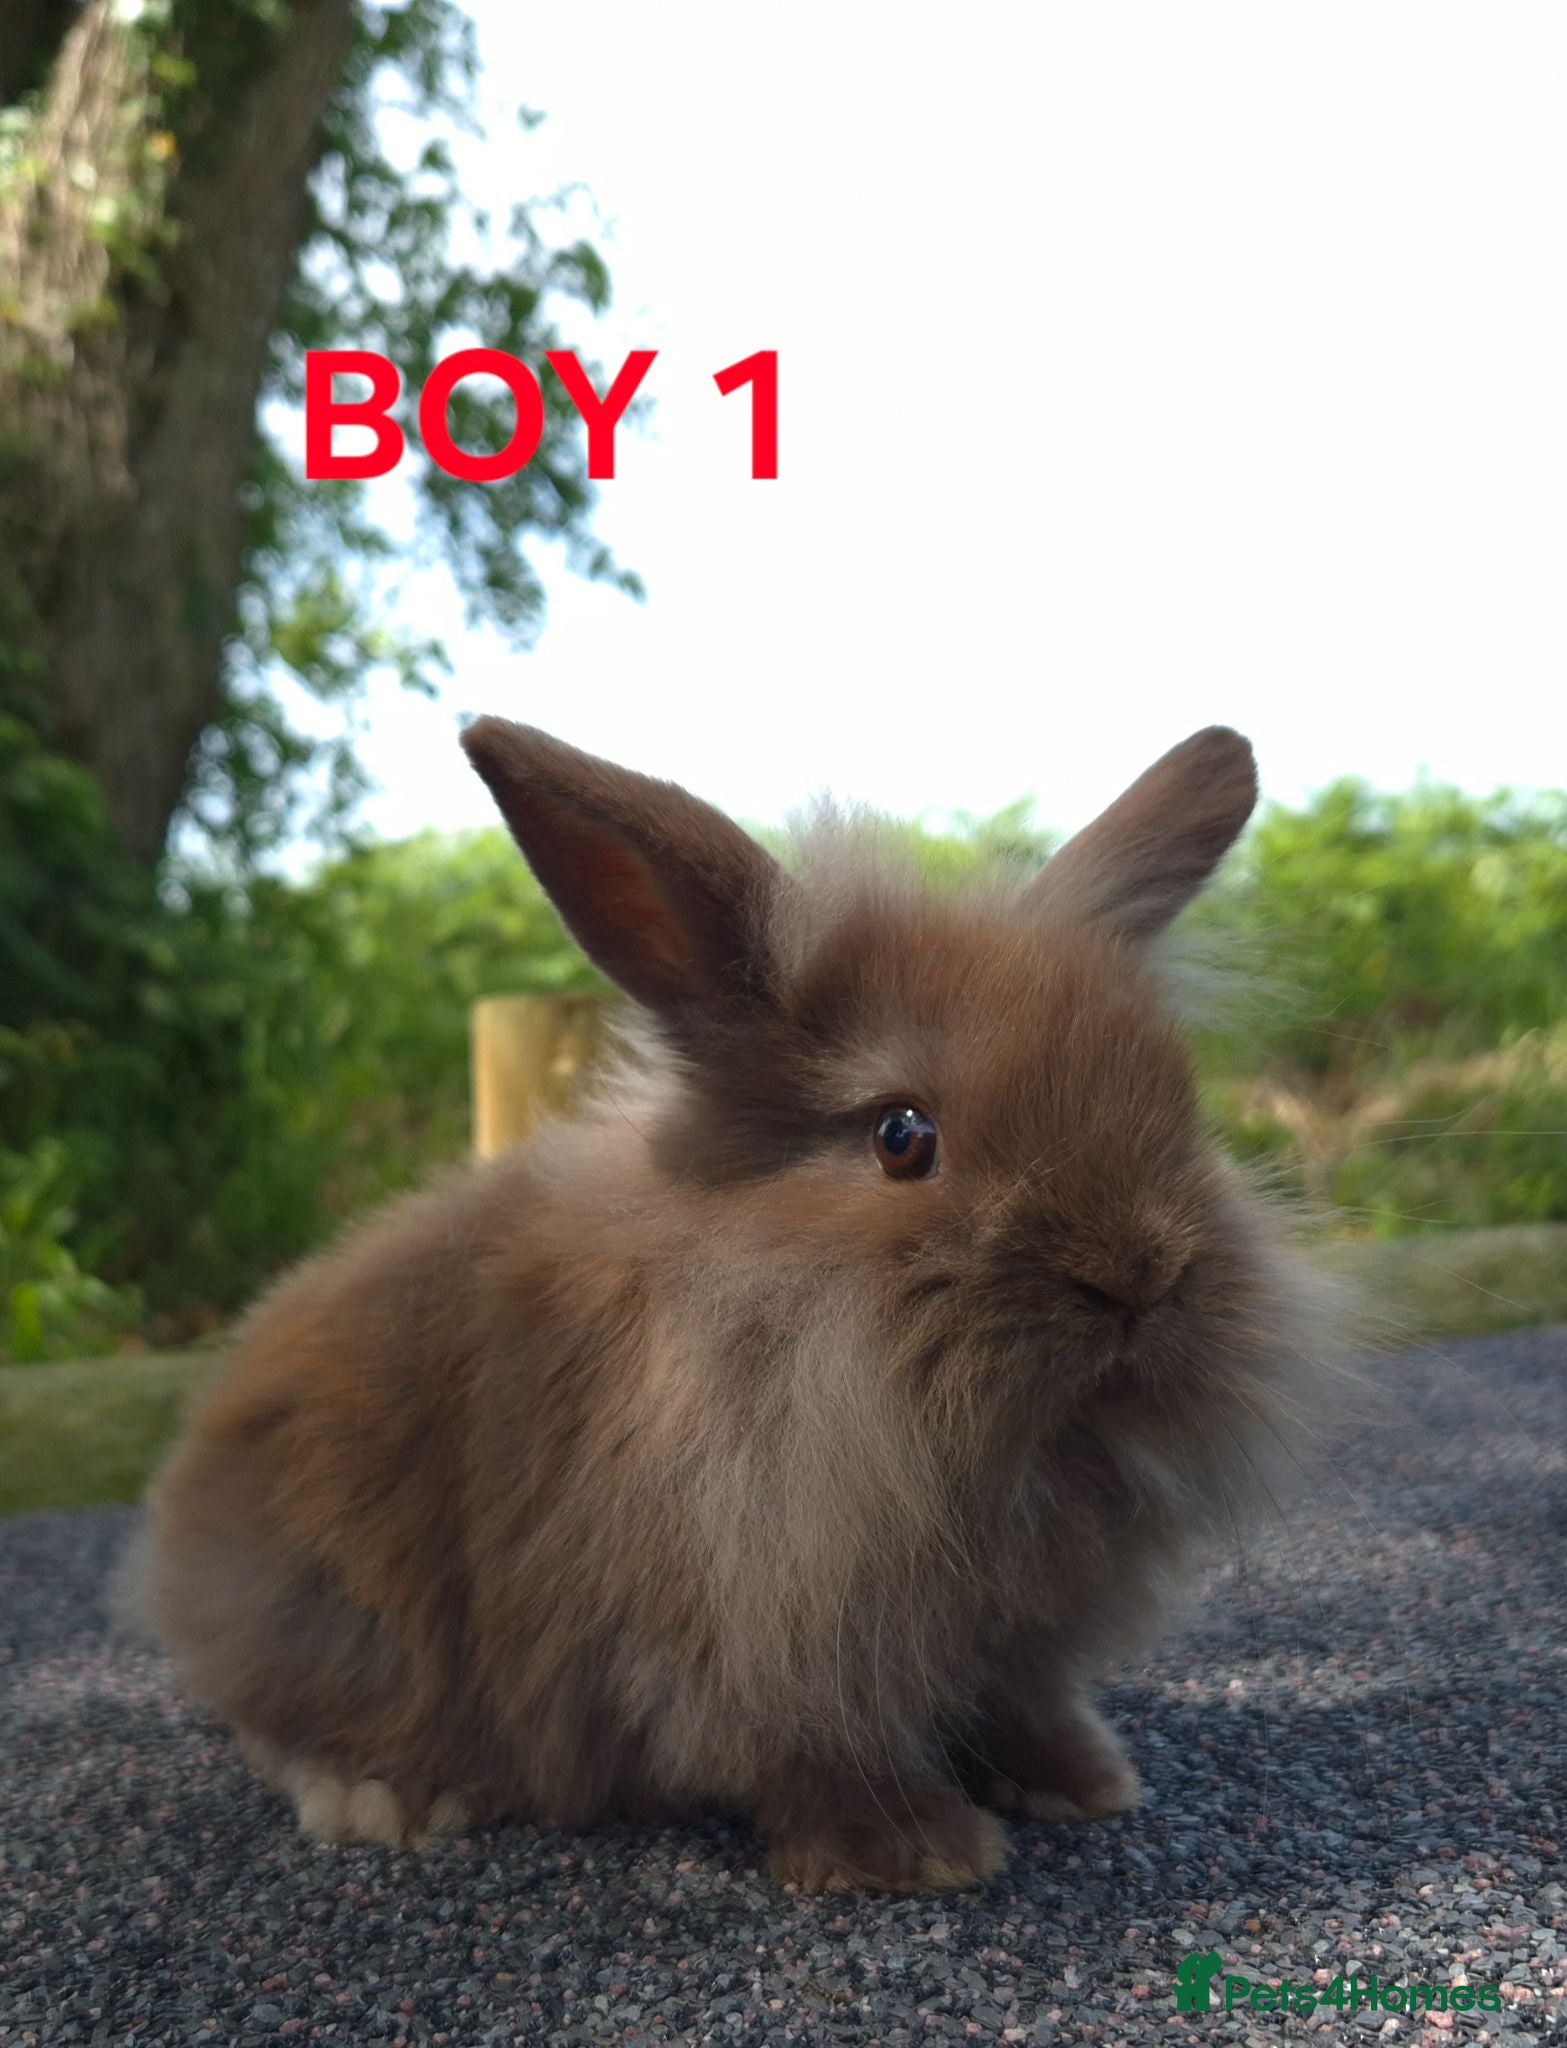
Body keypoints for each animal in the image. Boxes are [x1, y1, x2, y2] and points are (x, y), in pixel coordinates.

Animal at [121, 716, 1345, 1894]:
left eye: (1173, 1103)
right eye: (902, 1136)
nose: (1138, 1272)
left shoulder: (1018, 1635)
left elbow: (1024, 1701)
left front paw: (1081, 1784)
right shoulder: (752, 1631)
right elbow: (813, 1749)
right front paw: (910, 1855)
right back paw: (388, 1799)